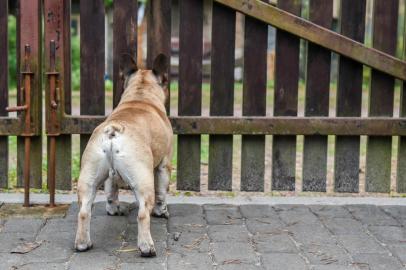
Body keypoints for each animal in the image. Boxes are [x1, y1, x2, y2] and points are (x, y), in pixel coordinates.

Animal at [75, 53, 172, 258]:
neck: (140, 96)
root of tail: (114, 129)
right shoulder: (164, 165)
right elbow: (162, 192)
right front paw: (162, 212)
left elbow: (111, 191)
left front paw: (113, 209)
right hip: (143, 180)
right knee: (143, 213)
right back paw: (147, 247)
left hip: (89, 176)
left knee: (84, 211)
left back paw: (83, 243)